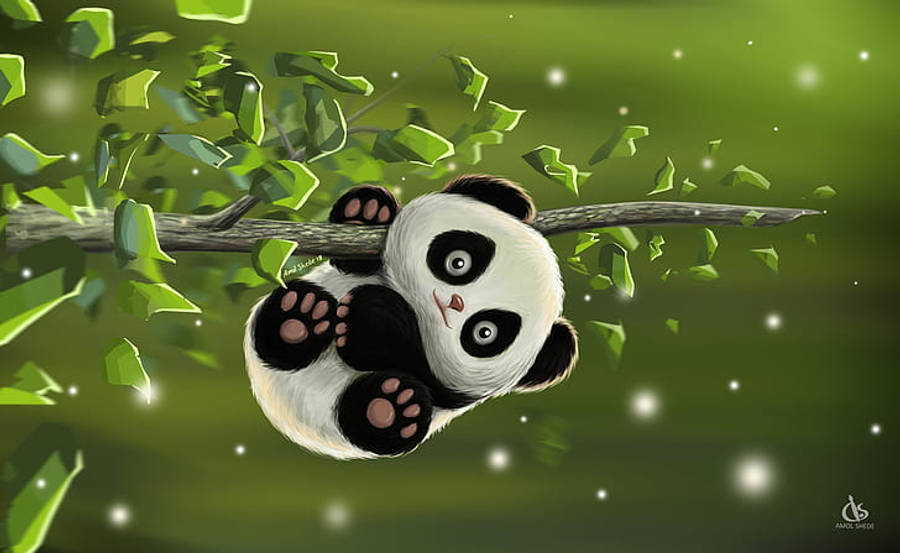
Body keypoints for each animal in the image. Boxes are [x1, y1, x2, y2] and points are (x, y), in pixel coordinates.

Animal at [244, 174, 578, 459]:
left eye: (485, 332)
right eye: (459, 262)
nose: (454, 303)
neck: (412, 304)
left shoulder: (451, 388)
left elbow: (422, 369)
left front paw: (368, 318)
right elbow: (354, 260)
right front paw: (367, 211)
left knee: (377, 418)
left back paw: (390, 406)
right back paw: (300, 316)